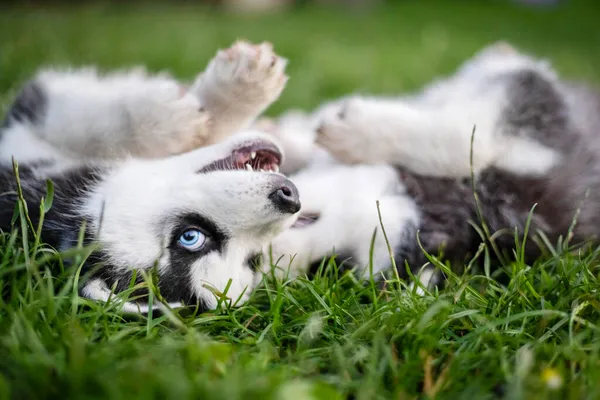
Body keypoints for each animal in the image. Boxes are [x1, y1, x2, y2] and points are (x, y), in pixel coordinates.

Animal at [0, 41, 300, 312]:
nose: (290, 197)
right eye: (191, 237)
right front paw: (178, 120)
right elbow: (81, 120)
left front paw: (238, 92)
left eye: (253, 259)